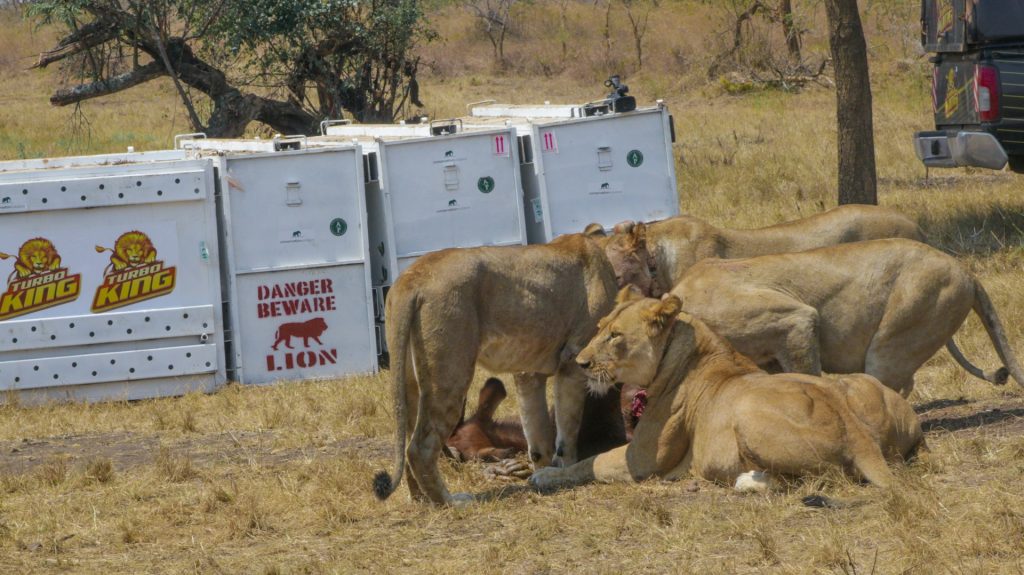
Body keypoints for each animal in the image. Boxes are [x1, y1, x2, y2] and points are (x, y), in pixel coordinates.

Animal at [373, 231, 619, 505]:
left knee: (407, 440)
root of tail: (411, 278)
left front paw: (542, 472)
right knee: (420, 447)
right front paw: (564, 471)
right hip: (450, 375)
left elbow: (538, 433)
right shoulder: (573, 361)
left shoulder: (528, 372)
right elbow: (567, 430)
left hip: (410, 379)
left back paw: (420, 498)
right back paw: (450, 502)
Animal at [528, 288, 924, 493]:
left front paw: (544, 475)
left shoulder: (642, 461)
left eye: (615, 336)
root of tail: (856, 432)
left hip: (747, 414)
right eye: (599, 328)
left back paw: (748, 481)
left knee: (822, 478)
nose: (580, 362)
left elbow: (589, 462)